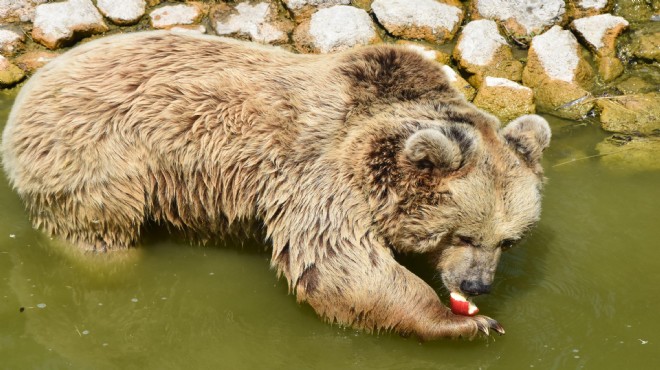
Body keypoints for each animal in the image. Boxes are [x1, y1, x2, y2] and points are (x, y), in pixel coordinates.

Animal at [2, 30, 548, 340]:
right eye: (462, 234)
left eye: (508, 240)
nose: (477, 285)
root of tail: (34, 85)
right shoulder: (324, 178)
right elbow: (339, 266)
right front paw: (466, 322)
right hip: (99, 160)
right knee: (100, 239)